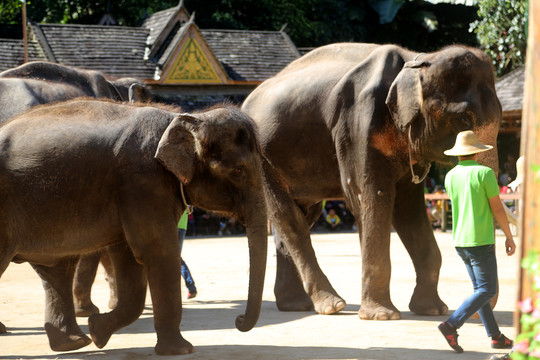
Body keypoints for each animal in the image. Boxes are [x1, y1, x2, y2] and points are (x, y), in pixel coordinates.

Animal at [0, 99, 268, 354]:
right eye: (239, 170)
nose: (238, 320)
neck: (186, 118)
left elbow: (130, 258)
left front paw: (98, 330)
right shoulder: (143, 181)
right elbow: (158, 251)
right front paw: (181, 350)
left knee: (56, 270)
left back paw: (74, 343)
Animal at [240, 42, 502, 320]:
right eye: (464, 119)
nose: (475, 311)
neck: (417, 60)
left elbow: (408, 208)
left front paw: (433, 310)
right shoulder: (358, 125)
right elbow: (370, 199)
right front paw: (382, 316)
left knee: (302, 216)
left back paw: (296, 305)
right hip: (261, 159)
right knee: (290, 219)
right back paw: (332, 305)